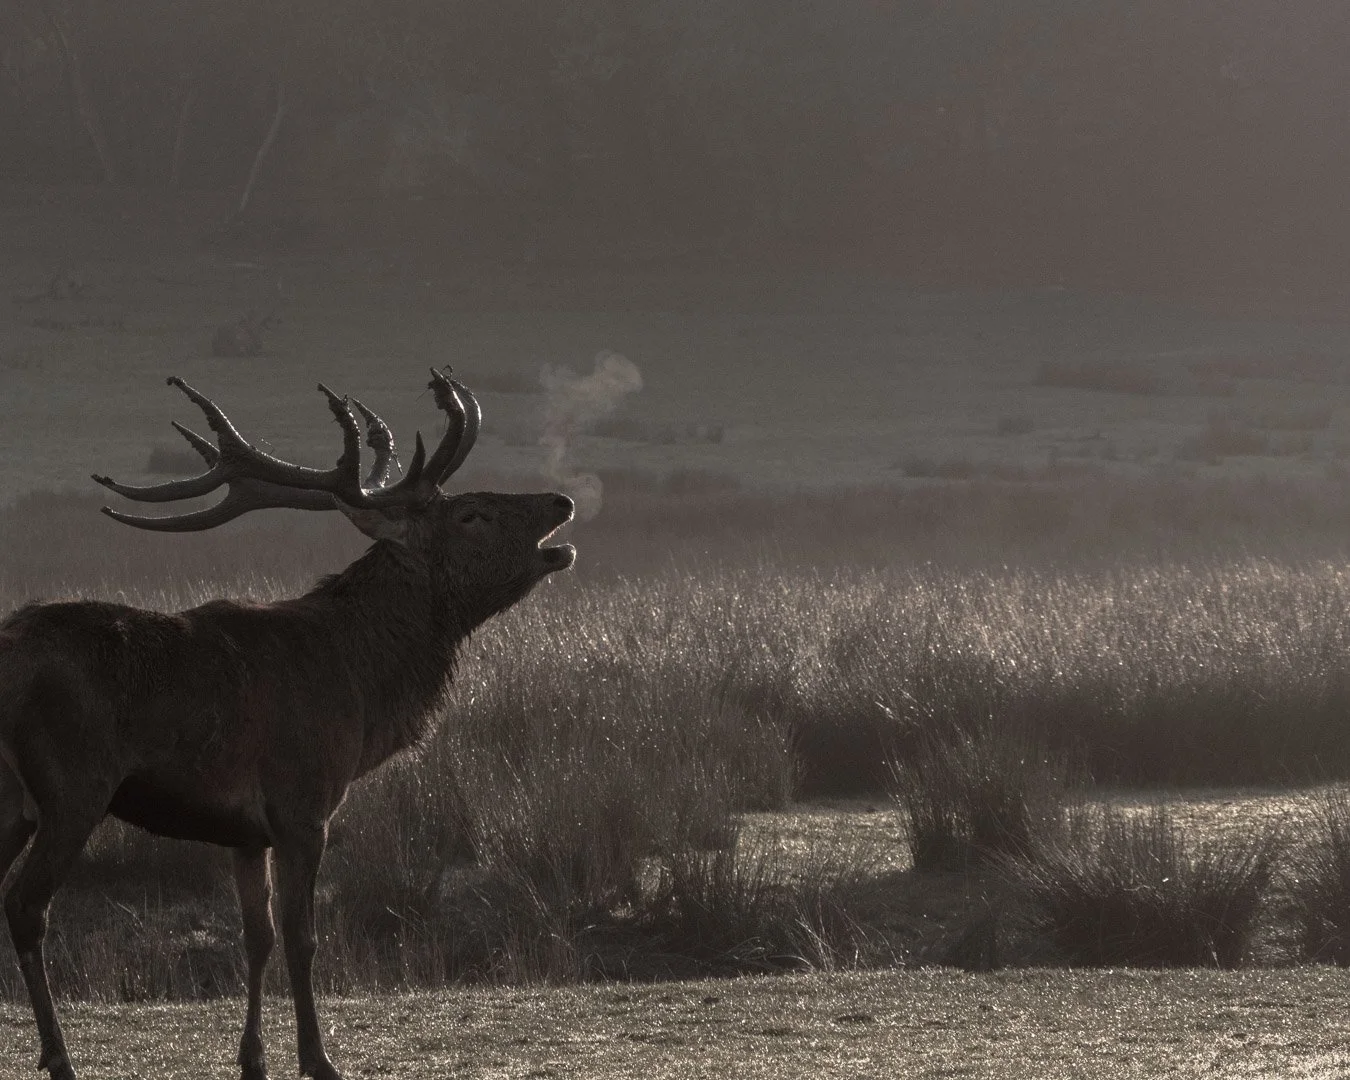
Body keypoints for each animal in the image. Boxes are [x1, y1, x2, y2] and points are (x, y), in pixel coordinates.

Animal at [0, 370, 575, 1080]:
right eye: (472, 514)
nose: (560, 501)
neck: (364, 690)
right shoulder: (305, 802)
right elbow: (303, 937)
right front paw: (317, 1058)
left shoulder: (246, 831)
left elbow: (258, 936)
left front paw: (253, 1058)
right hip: (71, 785)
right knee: (26, 905)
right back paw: (59, 1056)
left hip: (12, 799)